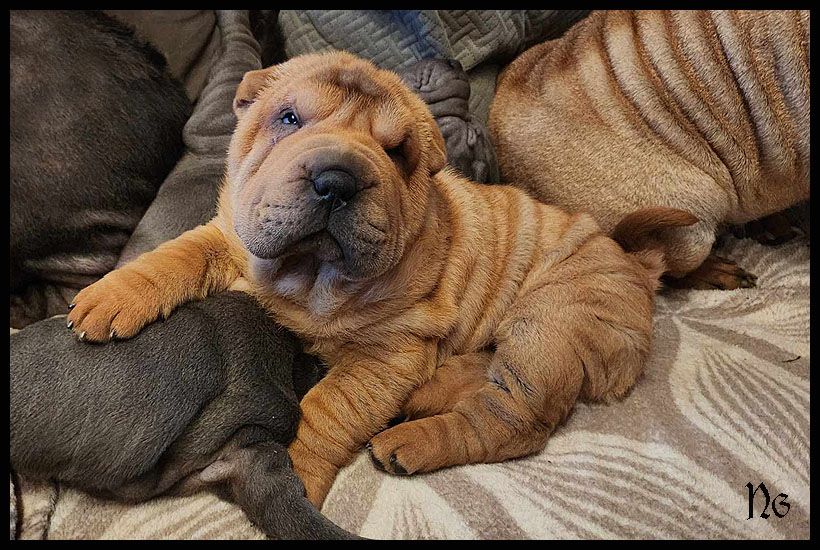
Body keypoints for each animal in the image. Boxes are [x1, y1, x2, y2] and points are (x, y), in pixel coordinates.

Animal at [65, 51, 695, 508]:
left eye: (397, 152)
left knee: (513, 422)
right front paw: (109, 297)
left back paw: (409, 442)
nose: (337, 179)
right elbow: (178, 254)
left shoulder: (389, 352)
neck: (306, 277)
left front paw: (295, 475)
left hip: (550, 323)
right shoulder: (234, 234)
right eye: (288, 119)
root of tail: (636, 268)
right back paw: (426, 395)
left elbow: (326, 407)